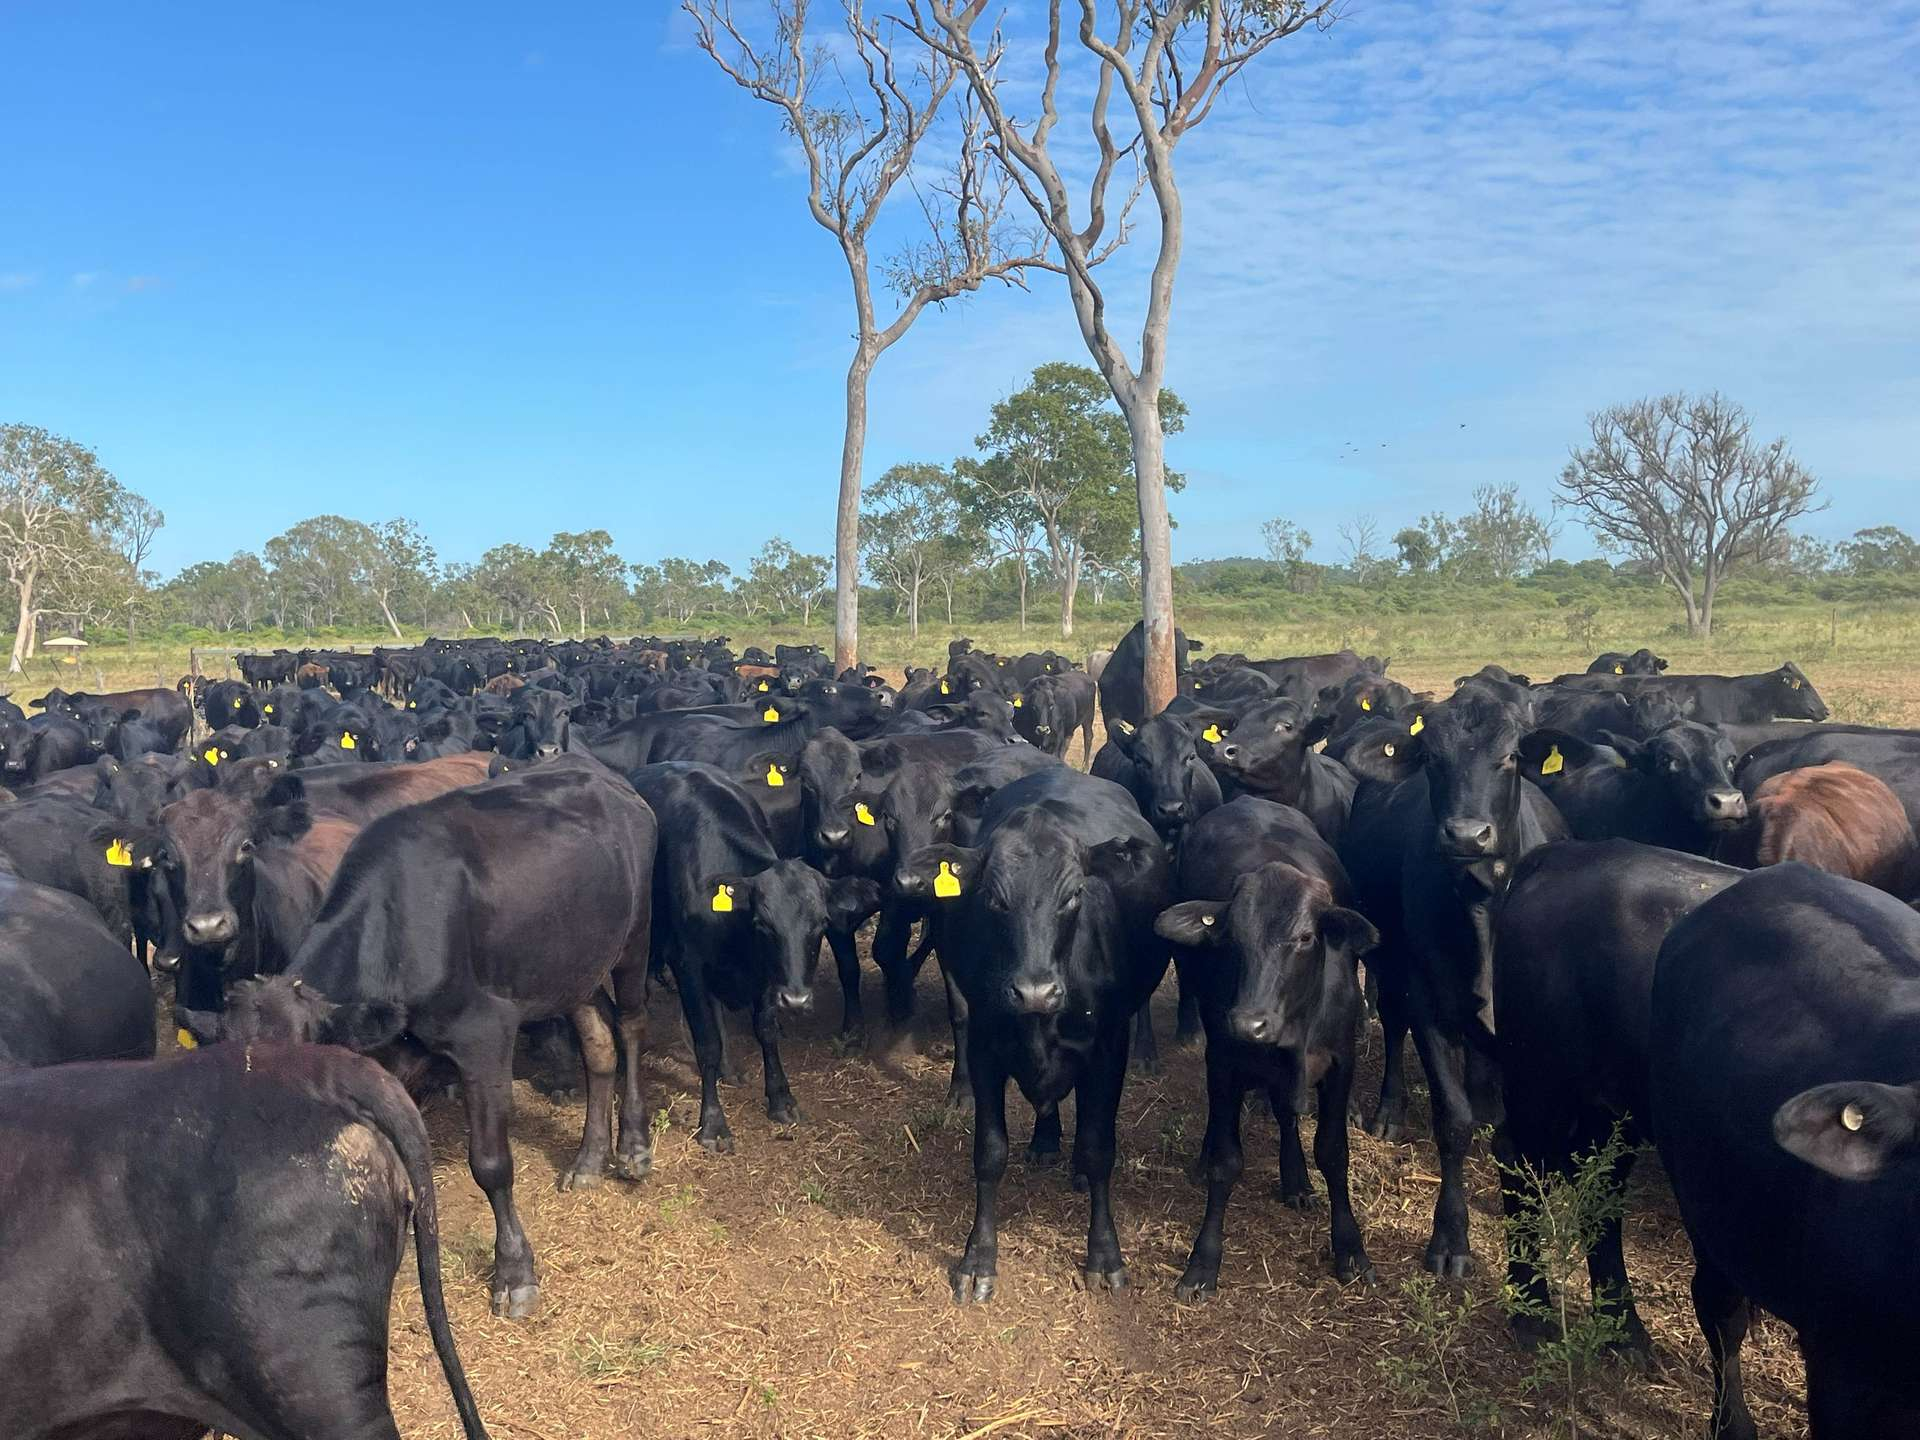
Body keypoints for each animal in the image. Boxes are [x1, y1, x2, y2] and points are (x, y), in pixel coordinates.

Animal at [900, 766, 1170, 1303]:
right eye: (994, 898)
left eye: (1074, 896)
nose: (1035, 992)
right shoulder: (984, 1047)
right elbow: (989, 1153)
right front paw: (977, 1260)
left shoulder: (1108, 1049)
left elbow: (1098, 1148)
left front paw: (1104, 1257)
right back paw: (1046, 1142)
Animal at [1154, 798, 1377, 1298]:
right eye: (1231, 938)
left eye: (1305, 937)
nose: (1248, 1022)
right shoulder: (1224, 1060)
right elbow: (1226, 1160)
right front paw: (1203, 1261)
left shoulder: (1341, 1061)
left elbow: (1333, 1152)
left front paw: (1351, 1248)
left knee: (1285, 1113)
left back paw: (1295, 1180)